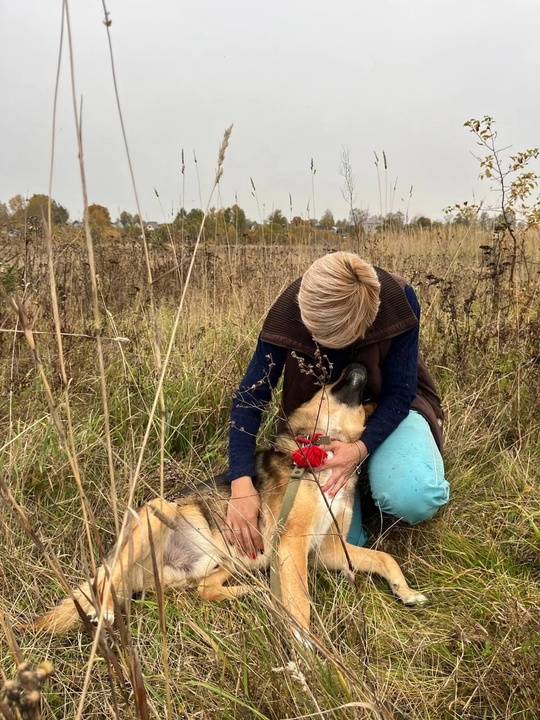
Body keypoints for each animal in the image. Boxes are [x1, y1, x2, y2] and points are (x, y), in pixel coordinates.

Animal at [30, 366, 426, 636]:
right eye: (329, 382)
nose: (358, 364)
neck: (324, 444)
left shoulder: (328, 549)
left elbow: (385, 558)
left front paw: (406, 592)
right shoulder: (292, 544)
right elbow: (300, 605)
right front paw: (307, 652)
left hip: (229, 560)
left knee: (204, 591)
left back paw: (251, 591)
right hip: (157, 515)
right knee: (106, 582)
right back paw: (106, 611)